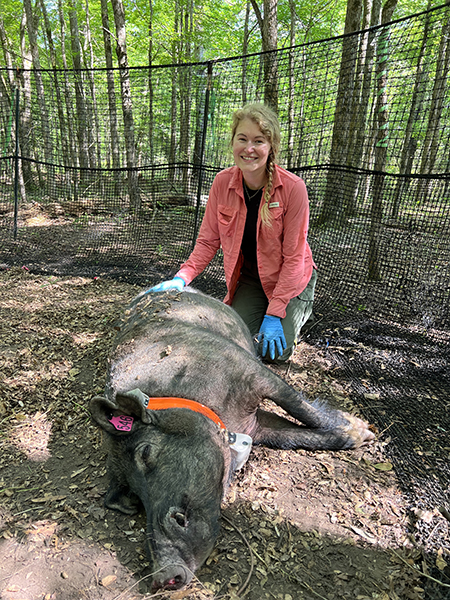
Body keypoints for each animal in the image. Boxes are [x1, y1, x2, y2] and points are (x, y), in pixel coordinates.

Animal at [89, 290, 374, 592]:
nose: (163, 576)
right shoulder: (256, 426)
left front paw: (362, 431)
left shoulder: (251, 372)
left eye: (145, 453)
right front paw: (359, 434)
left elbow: (298, 406)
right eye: (134, 497)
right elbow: (292, 436)